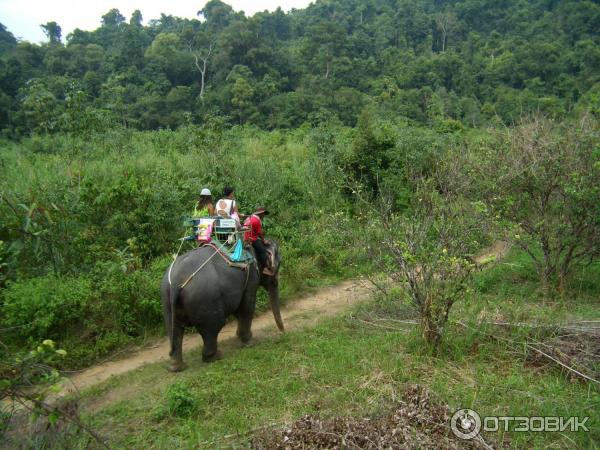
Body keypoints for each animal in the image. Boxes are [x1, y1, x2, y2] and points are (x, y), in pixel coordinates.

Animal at [158, 241, 282, 370]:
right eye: (280, 263)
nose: (282, 332)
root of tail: (176, 282)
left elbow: (238, 310)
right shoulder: (251, 277)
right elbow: (247, 307)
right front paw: (249, 343)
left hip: (166, 299)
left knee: (174, 330)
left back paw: (176, 367)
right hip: (205, 299)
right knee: (212, 328)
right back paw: (215, 357)